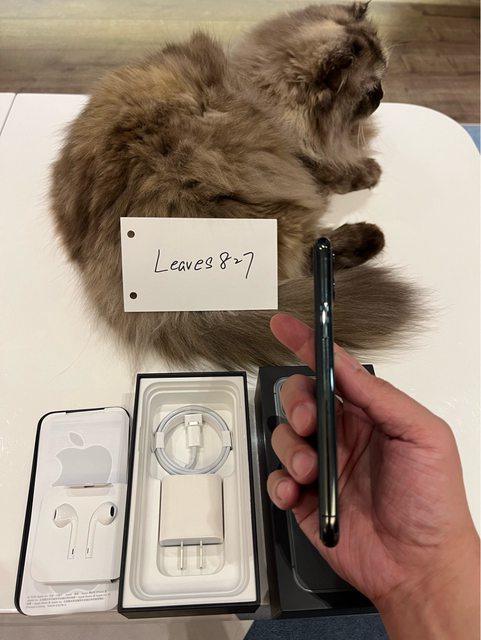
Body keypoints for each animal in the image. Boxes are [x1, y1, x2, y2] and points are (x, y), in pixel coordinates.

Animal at [50, 2, 418, 369]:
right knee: (313, 253)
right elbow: (340, 171)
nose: (383, 96)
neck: (260, 90)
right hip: (272, 217)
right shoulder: (307, 163)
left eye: (382, 81)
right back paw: (370, 237)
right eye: (372, 89)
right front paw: (371, 170)